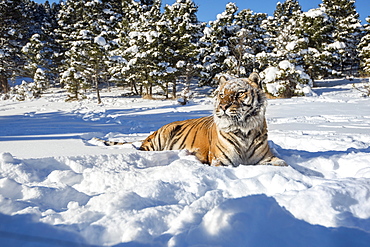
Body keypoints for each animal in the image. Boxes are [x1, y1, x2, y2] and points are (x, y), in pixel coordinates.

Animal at [137, 72, 288, 167]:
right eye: (221, 94)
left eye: (239, 93)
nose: (223, 106)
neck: (244, 131)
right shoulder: (220, 161)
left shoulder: (266, 157)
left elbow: (282, 164)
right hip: (159, 138)